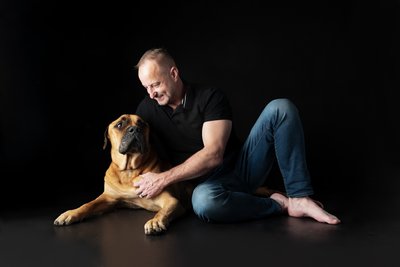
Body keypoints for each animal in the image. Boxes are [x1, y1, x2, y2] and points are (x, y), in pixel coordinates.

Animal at [54, 114, 195, 236]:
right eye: (119, 124)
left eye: (142, 124)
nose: (135, 129)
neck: (129, 170)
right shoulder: (108, 198)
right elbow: (88, 204)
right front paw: (71, 213)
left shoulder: (171, 201)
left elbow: (163, 211)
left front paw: (155, 222)